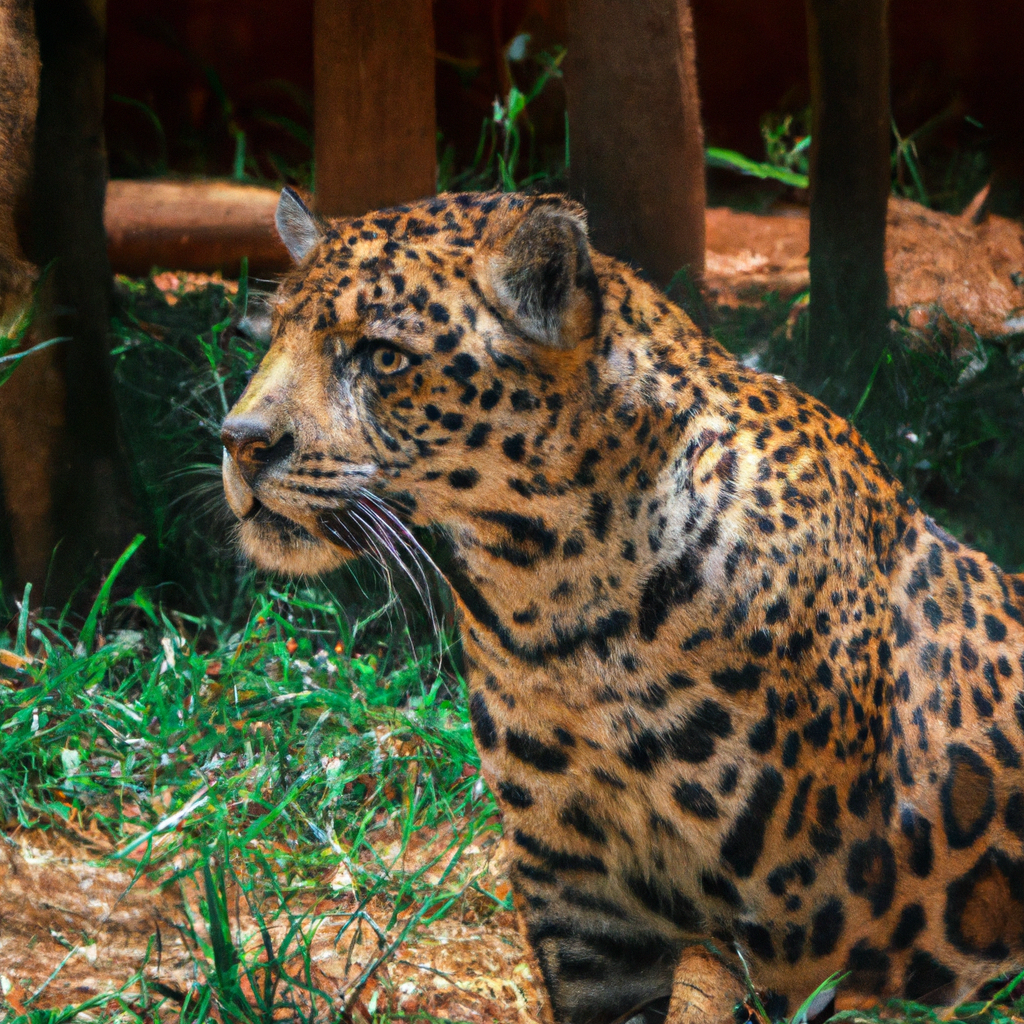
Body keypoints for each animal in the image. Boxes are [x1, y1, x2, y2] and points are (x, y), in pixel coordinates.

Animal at [222, 186, 1024, 1024]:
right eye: (274, 337)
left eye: (384, 356)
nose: (239, 440)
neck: (555, 601)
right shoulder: (583, 908)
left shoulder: (794, 939)